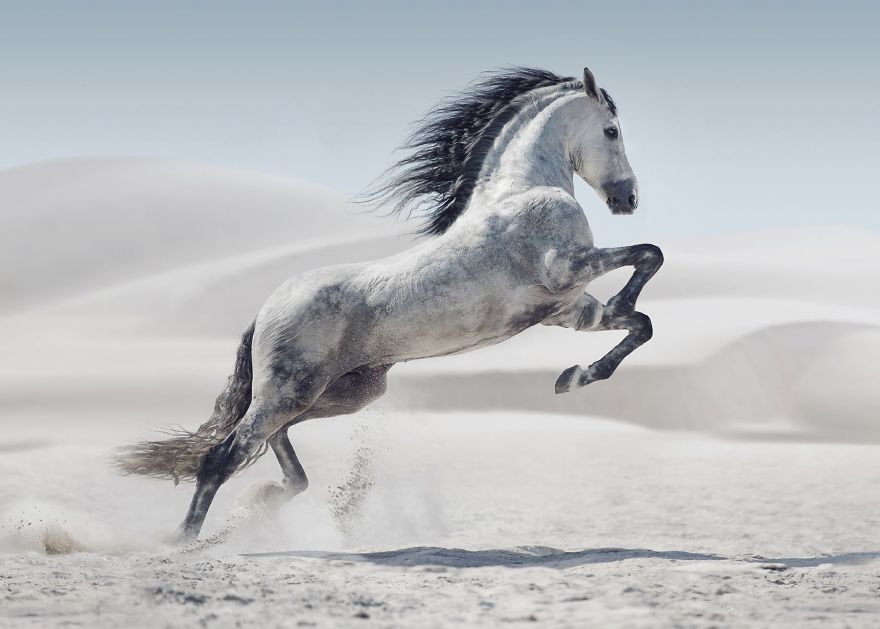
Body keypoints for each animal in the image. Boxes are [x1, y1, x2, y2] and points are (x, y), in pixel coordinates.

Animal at [115, 67, 664, 543]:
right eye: (612, 130)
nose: (629, 199)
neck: (522, 190)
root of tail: (266, 310)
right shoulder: (565, 268)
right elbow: (649, 255)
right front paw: (590, 351)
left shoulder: (568, 310)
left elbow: (641, 323)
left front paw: (574, 376)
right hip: (291, 390)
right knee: (224, 455)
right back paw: (184, 541)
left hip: (340, 393)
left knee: (273, 443)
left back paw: (265, 499)